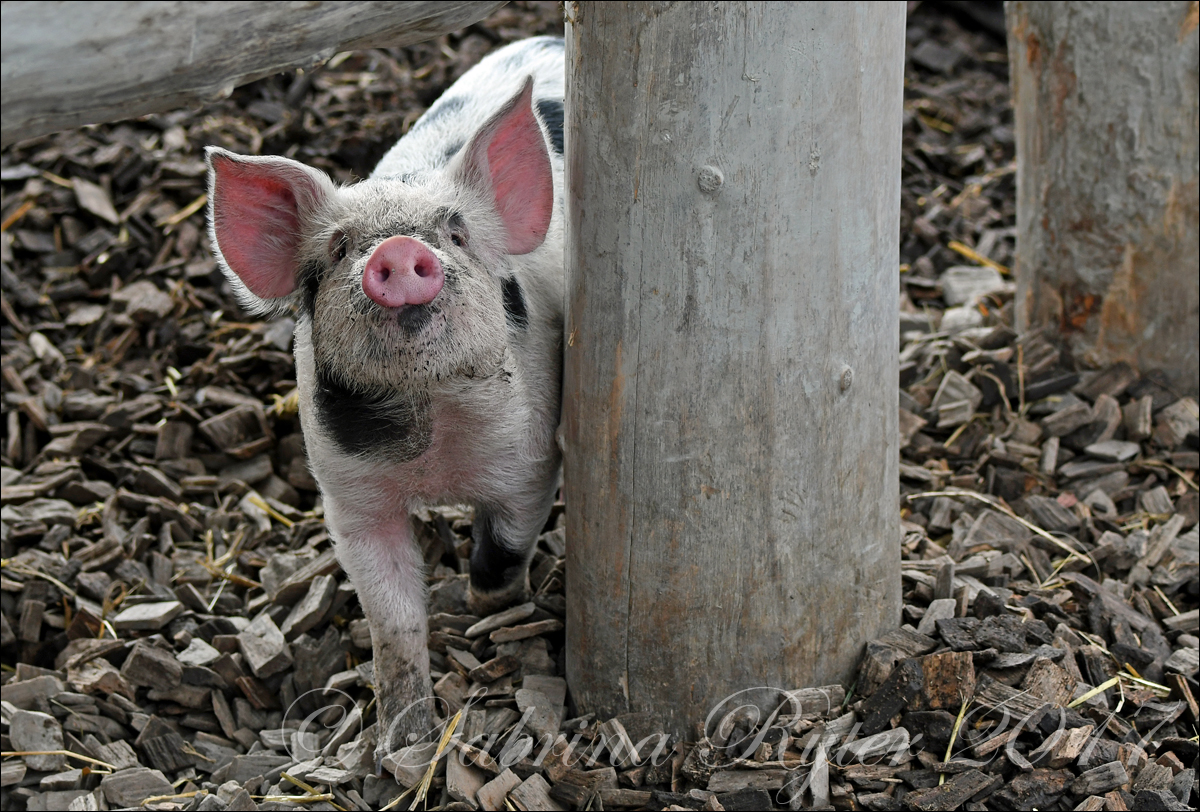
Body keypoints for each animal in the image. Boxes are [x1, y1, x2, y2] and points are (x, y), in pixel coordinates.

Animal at [204, 38, 564, 758]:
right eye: (339, 247)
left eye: (457, 234)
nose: (397, 251)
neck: (433, 448)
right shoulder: (349, 497)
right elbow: (391, 618)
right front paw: (404, 742)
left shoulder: (532, 460)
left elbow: (501, 553)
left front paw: (482, 611)